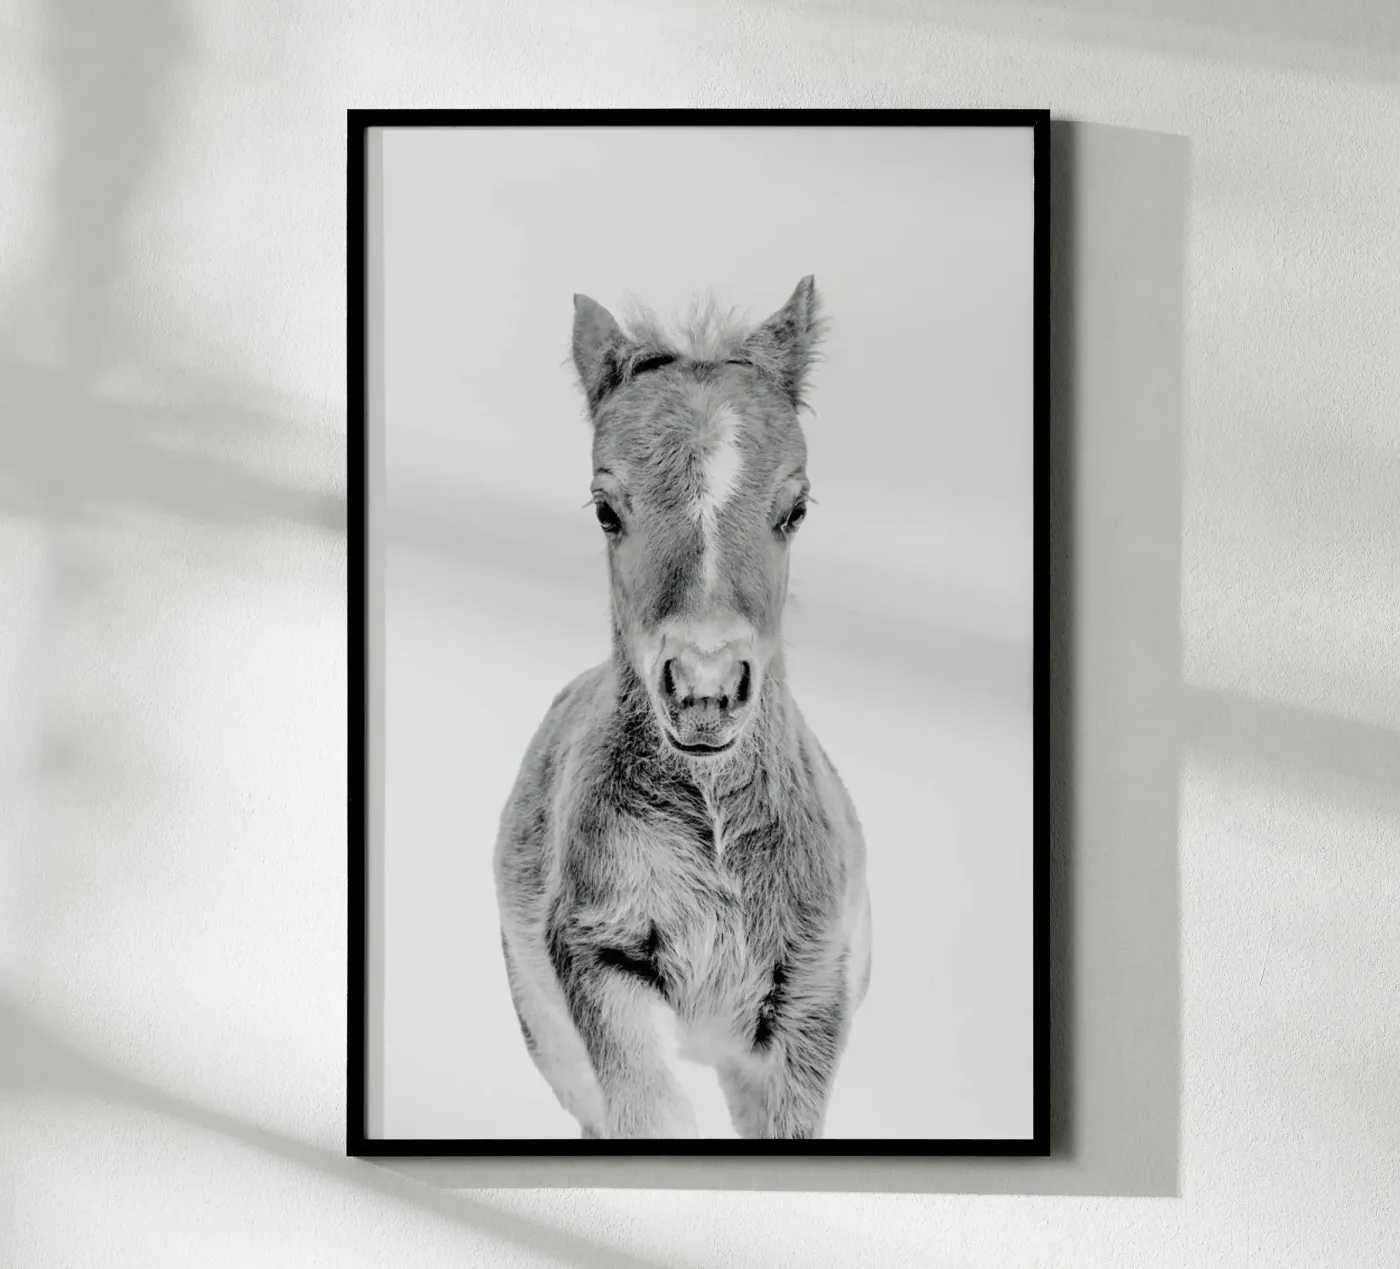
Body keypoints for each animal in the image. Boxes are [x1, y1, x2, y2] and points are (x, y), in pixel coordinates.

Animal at [493, 276, 871, 1139]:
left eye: (795, 508)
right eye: (606, 508)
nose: (704, 690)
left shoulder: (811, 1003)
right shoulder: (599, 960)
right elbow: (649, 1114)